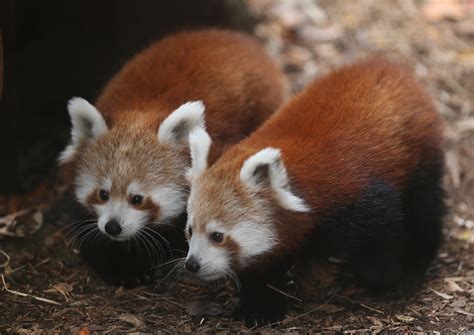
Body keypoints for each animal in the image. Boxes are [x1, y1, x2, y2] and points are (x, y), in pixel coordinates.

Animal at [59, 28, 288, 288]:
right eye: (103, 194)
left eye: (137, 198)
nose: (113, 227)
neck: (139, 111)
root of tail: (237, 36)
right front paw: (123, 268)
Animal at [184, 59, 444, 326]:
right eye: (190, 230)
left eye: (217, 236)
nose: (192, 264)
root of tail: (388, 66)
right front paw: (259, 306)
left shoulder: (360, 200)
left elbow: (383, 239)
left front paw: (387, 279)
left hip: (420, 155)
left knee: (424, 208)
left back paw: (415, 264)